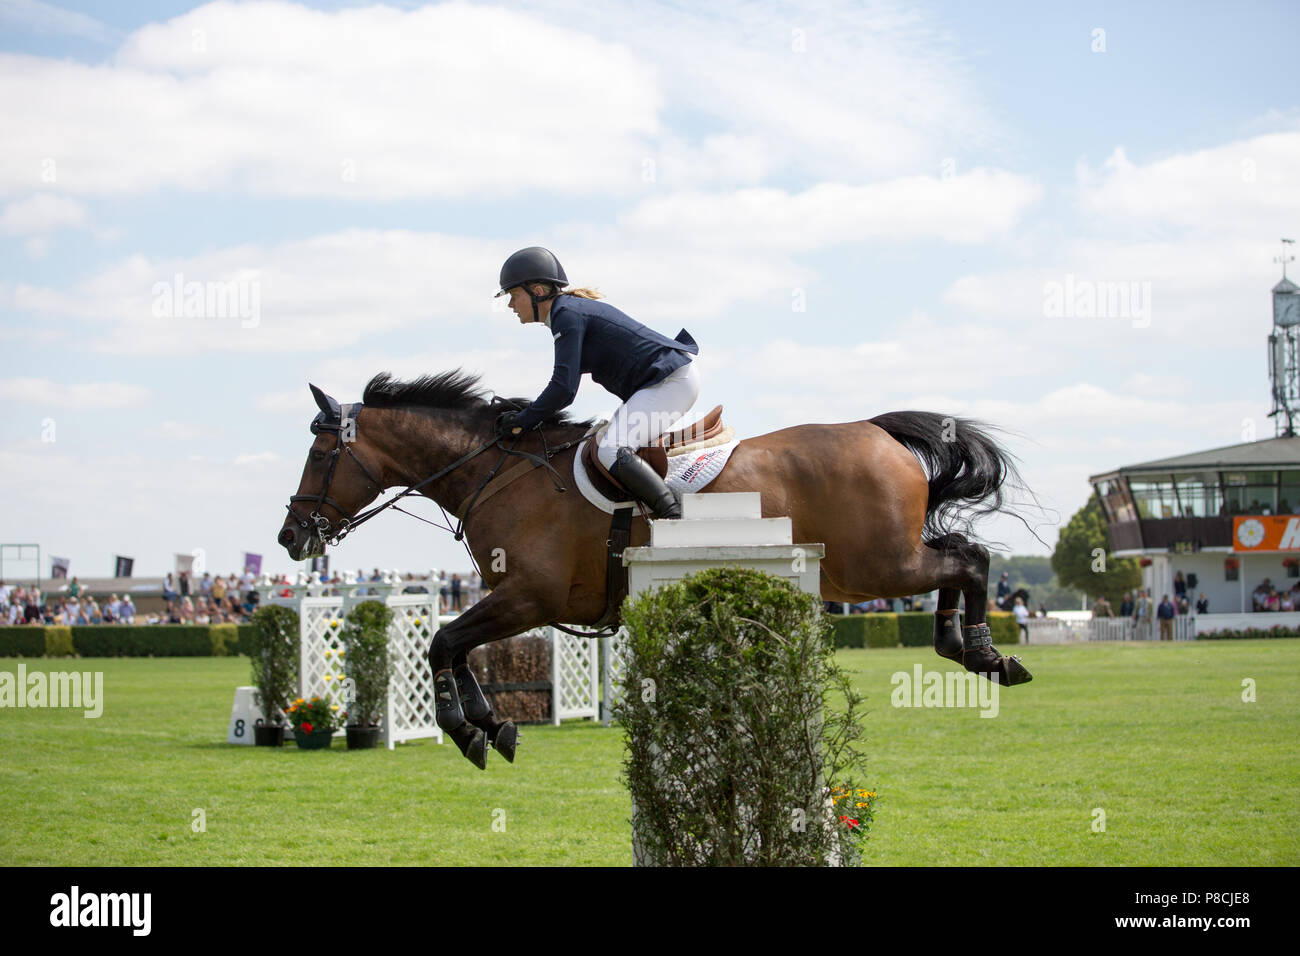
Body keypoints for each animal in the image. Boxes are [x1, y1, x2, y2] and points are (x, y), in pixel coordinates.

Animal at [279, 371, 1029, 770]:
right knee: (958, 558)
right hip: (865, 570)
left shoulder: (529, 597)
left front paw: (469, 730)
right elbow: (454, 647)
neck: (496, 471)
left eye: (317, 456)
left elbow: (442, 642)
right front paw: (493, 727)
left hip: (877, 565)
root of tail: (877, 431)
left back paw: (984, 652)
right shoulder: (515, 600)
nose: (291, 536)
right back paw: (965, 647)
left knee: (967, 558)